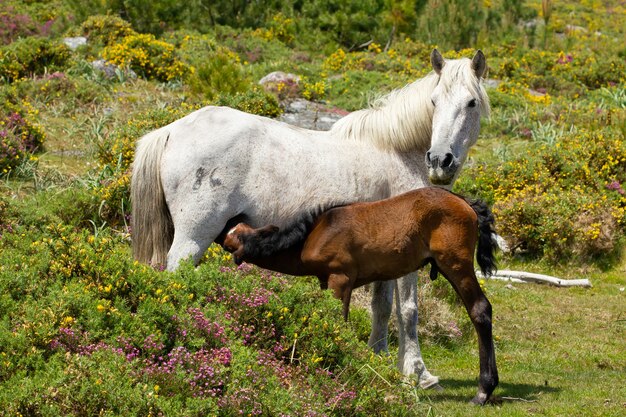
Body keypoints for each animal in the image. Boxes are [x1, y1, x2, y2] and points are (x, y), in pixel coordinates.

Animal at [130, 49, 488, 390]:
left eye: (471, 102)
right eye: (434, 101)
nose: (440, 161)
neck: (395, 152)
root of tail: (171, 131)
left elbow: (382, 306)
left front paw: (377, 359)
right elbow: (409, 310)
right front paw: (417, 373)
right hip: (192, 237)